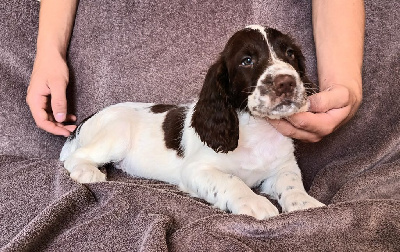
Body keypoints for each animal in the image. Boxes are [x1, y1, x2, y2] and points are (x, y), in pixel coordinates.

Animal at [60, 24, 324, 220]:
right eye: (247, 61)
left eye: (290, 54)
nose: (286, 82)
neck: (257, 128)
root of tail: (91, 116)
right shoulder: (197, 169)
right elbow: (232, 181)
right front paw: (254, 202)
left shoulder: (284, 166)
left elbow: (291, 183)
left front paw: (305, 203)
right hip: (117, 134)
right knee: (76, 158)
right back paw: (88, 172)